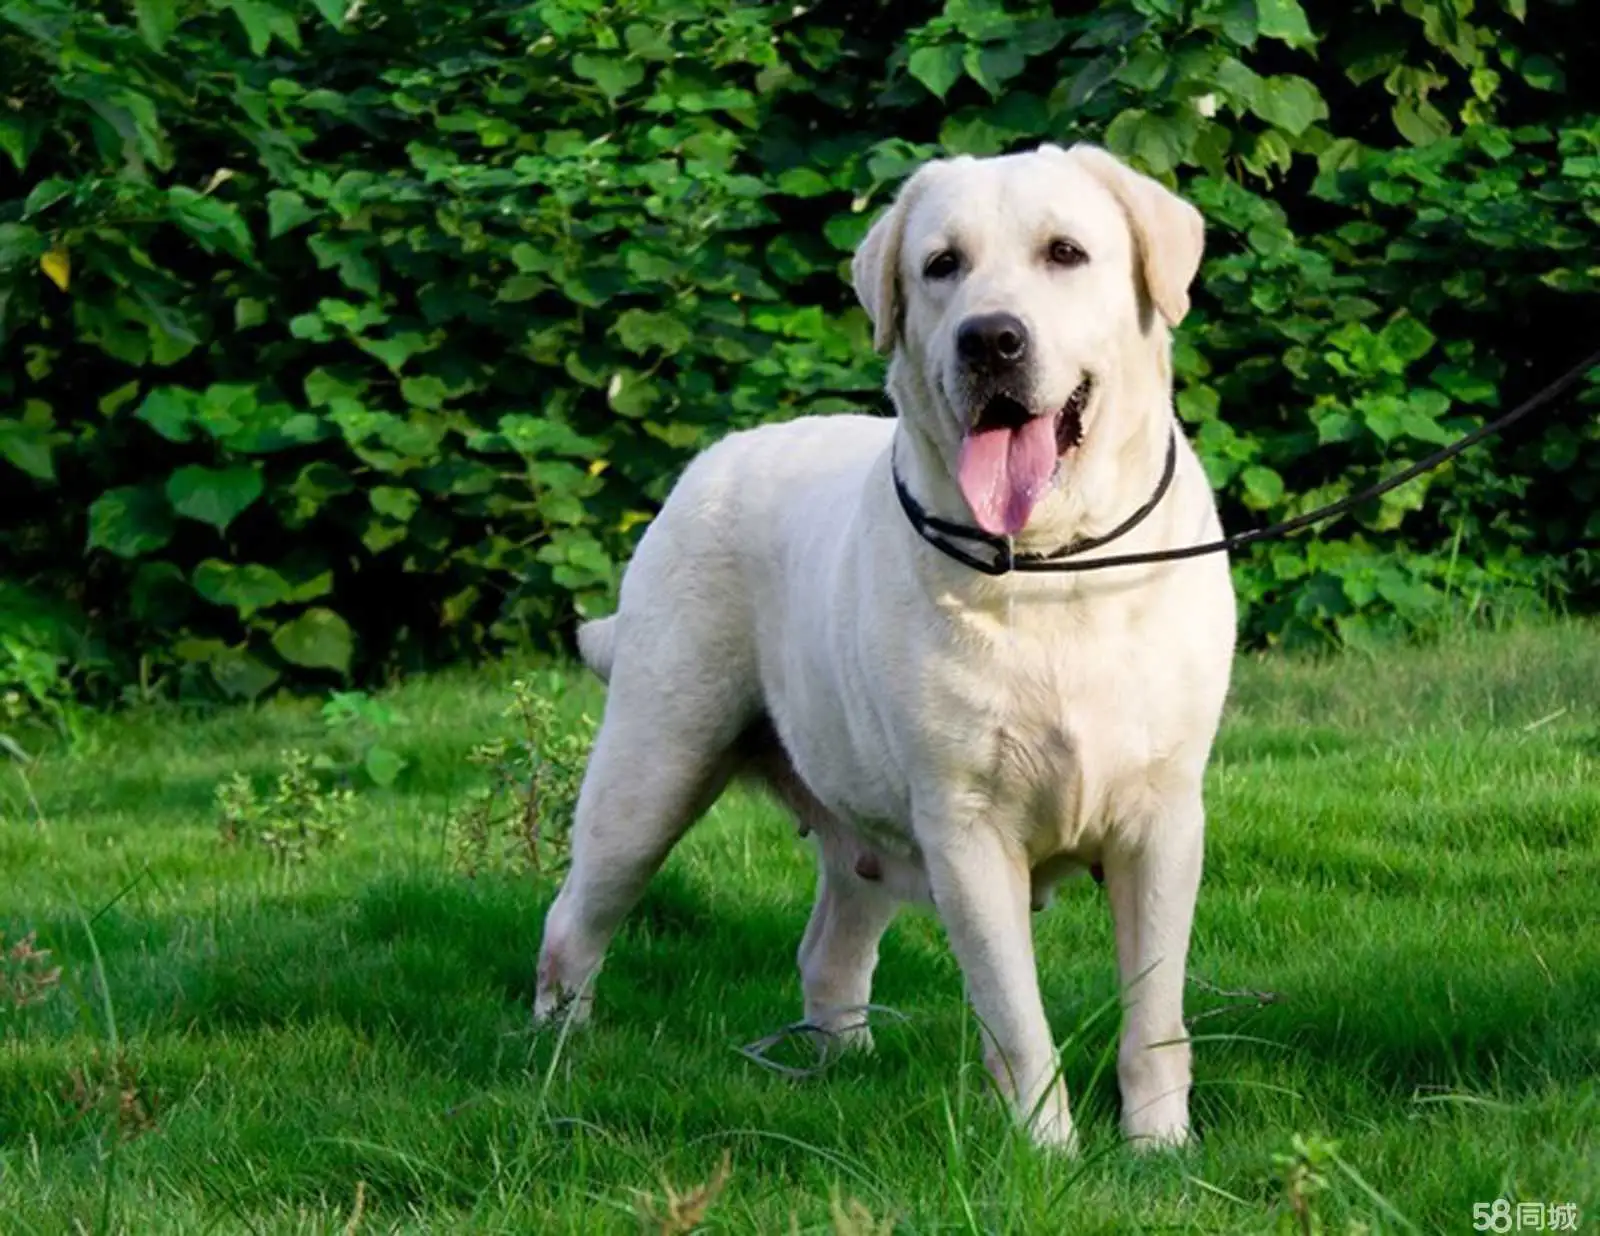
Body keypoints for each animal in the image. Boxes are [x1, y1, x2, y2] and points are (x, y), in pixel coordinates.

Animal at [537, 142, 1235, 1146]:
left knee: (828, 947)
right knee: (578, 916)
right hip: (652, 766)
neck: (1050, 566)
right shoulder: (966, 827)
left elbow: (1155, 1012)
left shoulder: (1164, 818)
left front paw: (1159, 1149)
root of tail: (710, 460)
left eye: (1065, 253)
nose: (991, 340)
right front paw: (1049, 1151)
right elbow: (1016, 1014)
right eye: (941, 265)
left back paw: (844, 1064)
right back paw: (556, 1053)